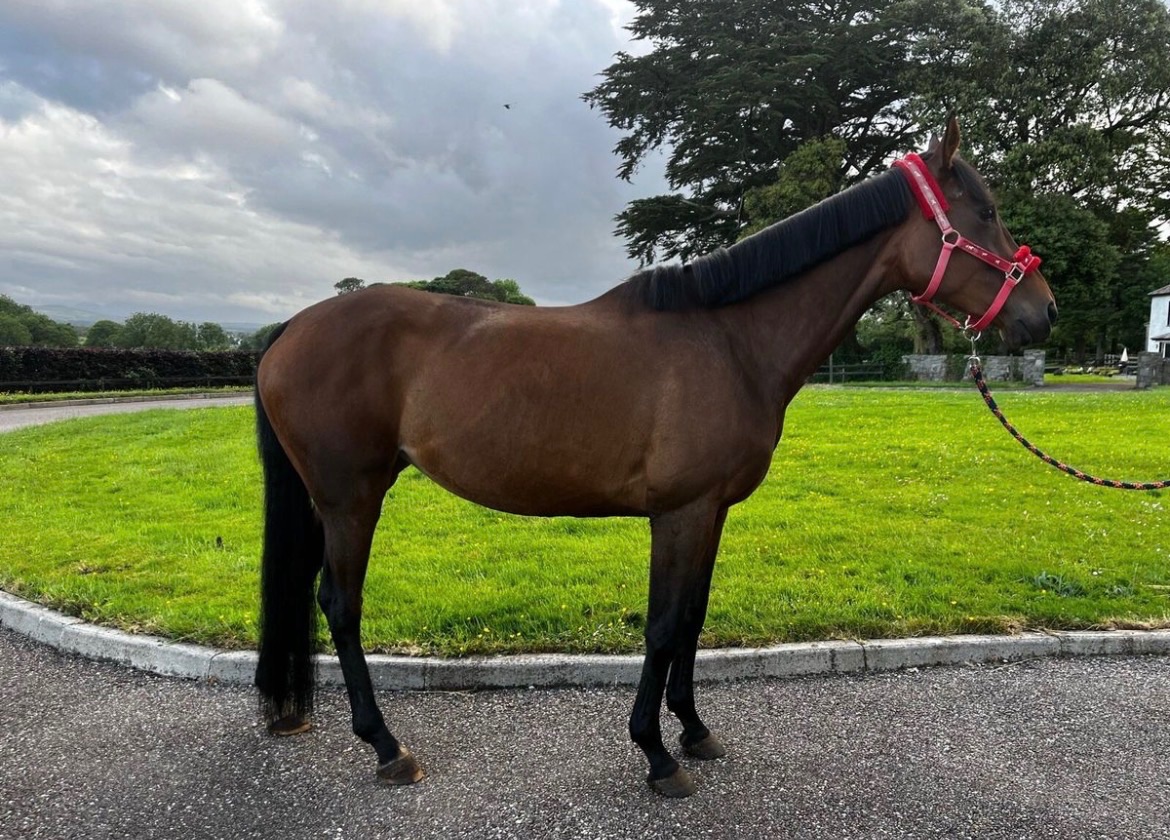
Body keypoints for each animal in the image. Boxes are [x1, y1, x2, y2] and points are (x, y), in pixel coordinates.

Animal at [252, 118, 1057, 798]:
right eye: (985, 211)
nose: (1042, 312)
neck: (729, 341)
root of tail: (290, 328)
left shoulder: (711, 513)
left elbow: (693, 619)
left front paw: (694, 731)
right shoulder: (679, 512)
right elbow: (664, 625)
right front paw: (657, 754)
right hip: (350, 497)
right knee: (340, 604)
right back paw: (388, 748)